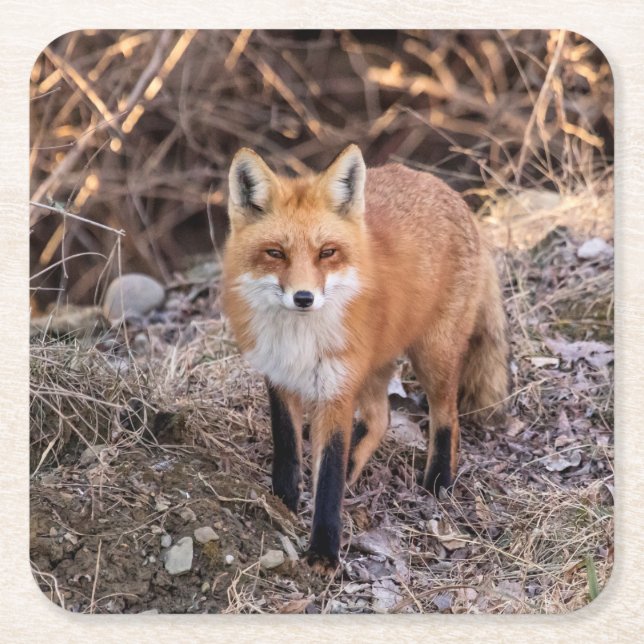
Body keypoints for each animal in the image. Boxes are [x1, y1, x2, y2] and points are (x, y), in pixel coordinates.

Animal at [221, 144, 510, 573]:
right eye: (275, 253)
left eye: (327, 253)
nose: (304, 298)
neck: (299, 339)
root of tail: (446, 190)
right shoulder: (279, 377)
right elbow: (288, 448)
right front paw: (283, 501)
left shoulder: (337, 390)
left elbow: (328, 478)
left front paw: (324, 551)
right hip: (374, 365)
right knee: (381, 418)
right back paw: (357, 465)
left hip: (432, 355)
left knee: (448, 417)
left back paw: (438, 481)